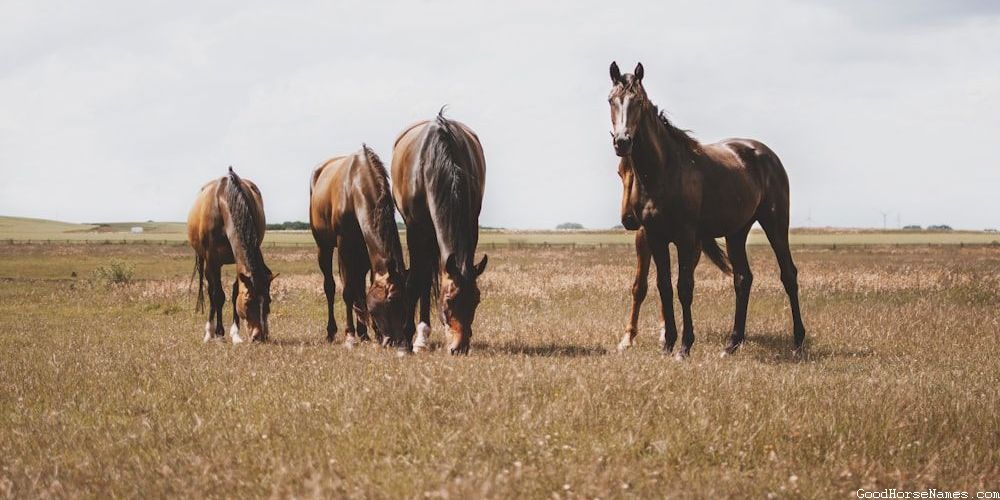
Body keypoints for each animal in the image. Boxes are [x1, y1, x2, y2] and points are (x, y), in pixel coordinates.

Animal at [188, 167, 275, 343]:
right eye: (248, 302)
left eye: (269, 300)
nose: (259, 337)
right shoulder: (212, 259)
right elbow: (217, 295)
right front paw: (214, 333)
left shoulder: (237, 260)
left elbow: (235, 293)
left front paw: (235, 334)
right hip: (207, 262)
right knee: (211, 292)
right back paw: (213, 331)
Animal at [309, 145, 410, 351]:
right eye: (390, 301)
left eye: (406, 303)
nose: (398, 342)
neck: (354, 187)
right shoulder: (344, 245)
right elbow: (347, 291)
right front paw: (350, 335)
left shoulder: (365, 251)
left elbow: (364, 287)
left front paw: (373, 333)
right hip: (325, 248)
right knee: (330, 286)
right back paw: (332, 332)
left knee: (358, 287)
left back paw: (363, 332)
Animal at [391, 111, 488, 355]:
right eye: (449, 300)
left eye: (476, 300)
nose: (459, 348)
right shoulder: (416, 229)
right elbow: (415, 281)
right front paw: (405, 341)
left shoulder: (471, 225)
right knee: (424, 276)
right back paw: (419, 338)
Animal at [608, 61, 806, 358]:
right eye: (611, 100)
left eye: (639, 101)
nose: (622, 141)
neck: (665, 171)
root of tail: (765, 154)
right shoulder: (655, 237)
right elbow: (664, 287)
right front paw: (668, 344)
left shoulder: (687, 238)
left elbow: (684, 287)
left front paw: (684, 347)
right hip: (737, 232)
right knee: (743, 278)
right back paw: (731, 344)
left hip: (776, 224)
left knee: (788, 274)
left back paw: (798, 341)